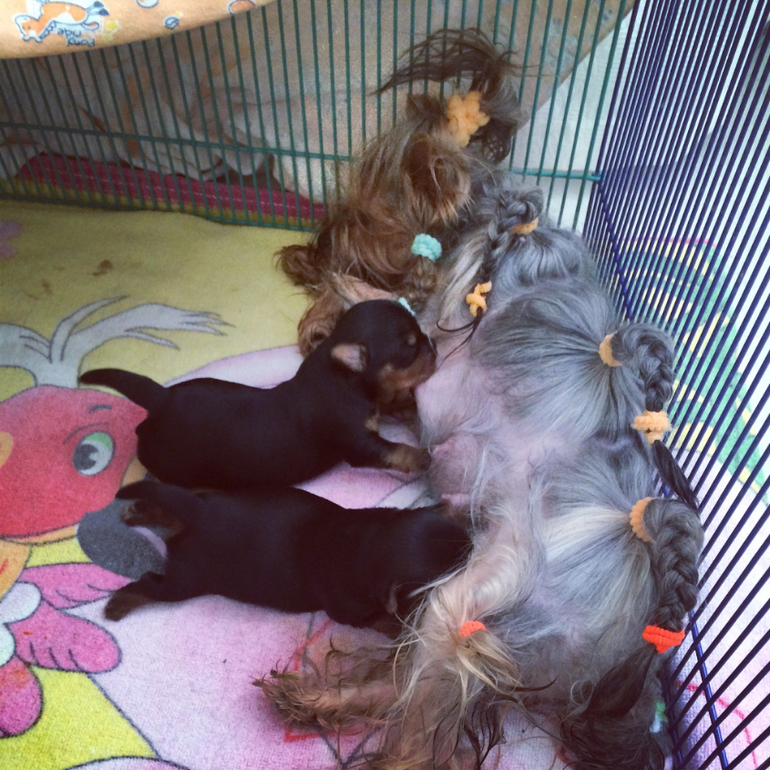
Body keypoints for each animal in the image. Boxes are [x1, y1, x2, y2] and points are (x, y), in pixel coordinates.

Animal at [80, 299, 436, 490]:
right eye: (410, 348)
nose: (433, 344)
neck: (344, 376)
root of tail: (161, 397)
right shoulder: (358, 443)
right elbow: (394, 450)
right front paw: (422, 457)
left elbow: (391, 403)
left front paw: (408, 406)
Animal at [104, 480, 471, 629]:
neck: (370, 540)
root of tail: (200, 514)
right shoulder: (350, 612)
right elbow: (382, 621)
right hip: (188, 579)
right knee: (149, 584)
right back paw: (117, 606)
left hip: (204, 500)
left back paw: (137, 512)